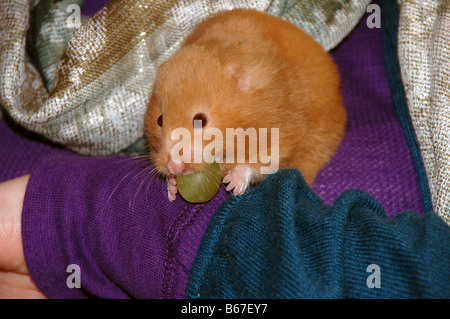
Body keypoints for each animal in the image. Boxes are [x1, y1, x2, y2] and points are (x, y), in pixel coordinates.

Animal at [144, 8, 344, 201]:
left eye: (201, 119)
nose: (174, 167)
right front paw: (172, 187)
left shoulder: (281, 134)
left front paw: (232, 184)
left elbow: (257, 162)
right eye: (159, 120)